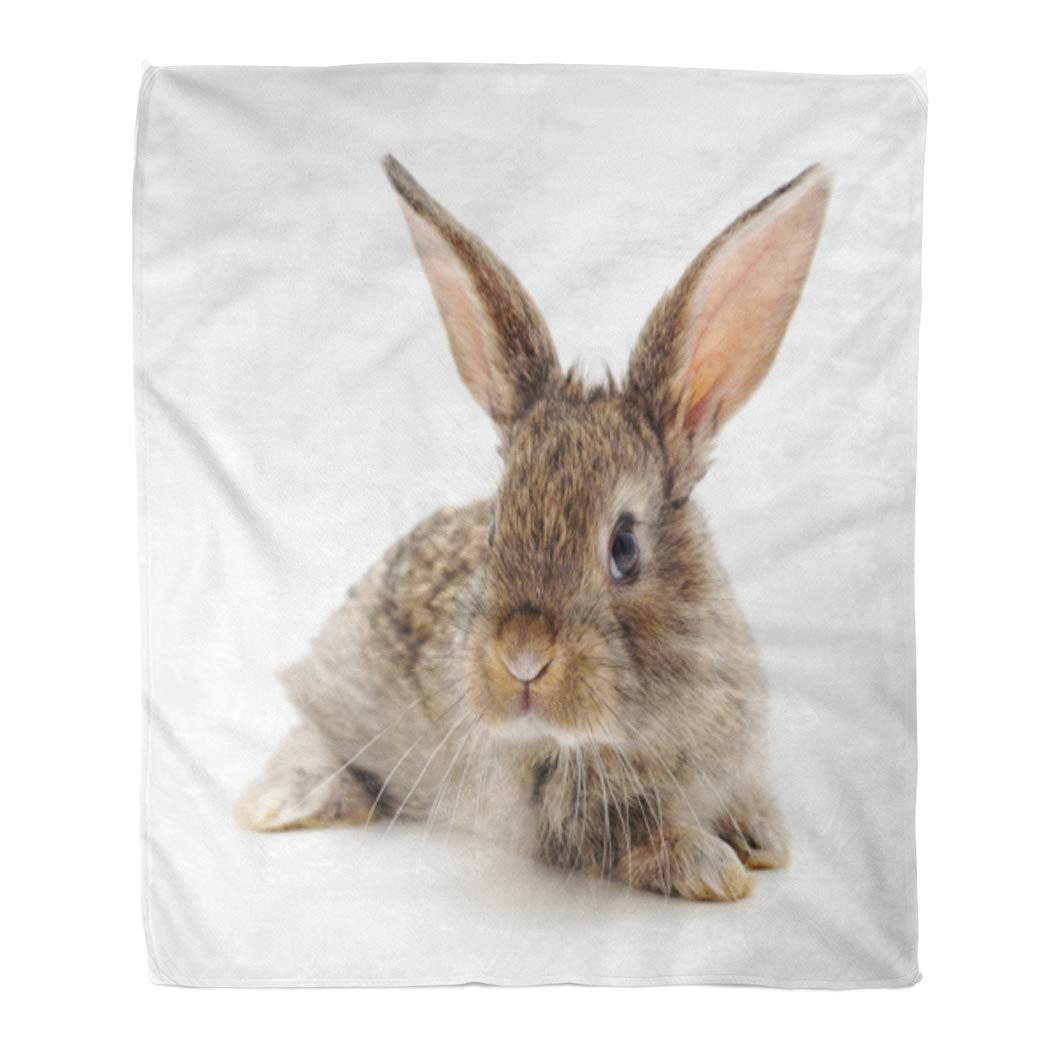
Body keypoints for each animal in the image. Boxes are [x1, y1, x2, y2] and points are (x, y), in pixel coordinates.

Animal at [236, 155, 830, 901]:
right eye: (496, 531)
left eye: (624, 547)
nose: (522, 656)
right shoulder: (561, 808)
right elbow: (630, 840)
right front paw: (709, 867)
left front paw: (762, 839)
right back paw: (281, 802)